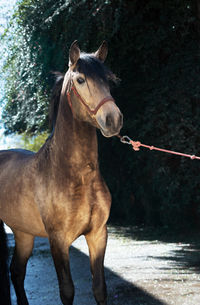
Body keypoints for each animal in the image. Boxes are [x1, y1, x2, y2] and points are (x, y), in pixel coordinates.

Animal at [0, 41, 122, 304]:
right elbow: (67, 290)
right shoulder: (58, 240)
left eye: (108, 79)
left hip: (23, 234)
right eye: (80, 80)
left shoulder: (98, 234)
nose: (113, 120)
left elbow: (100, 288)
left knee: (17, 272)